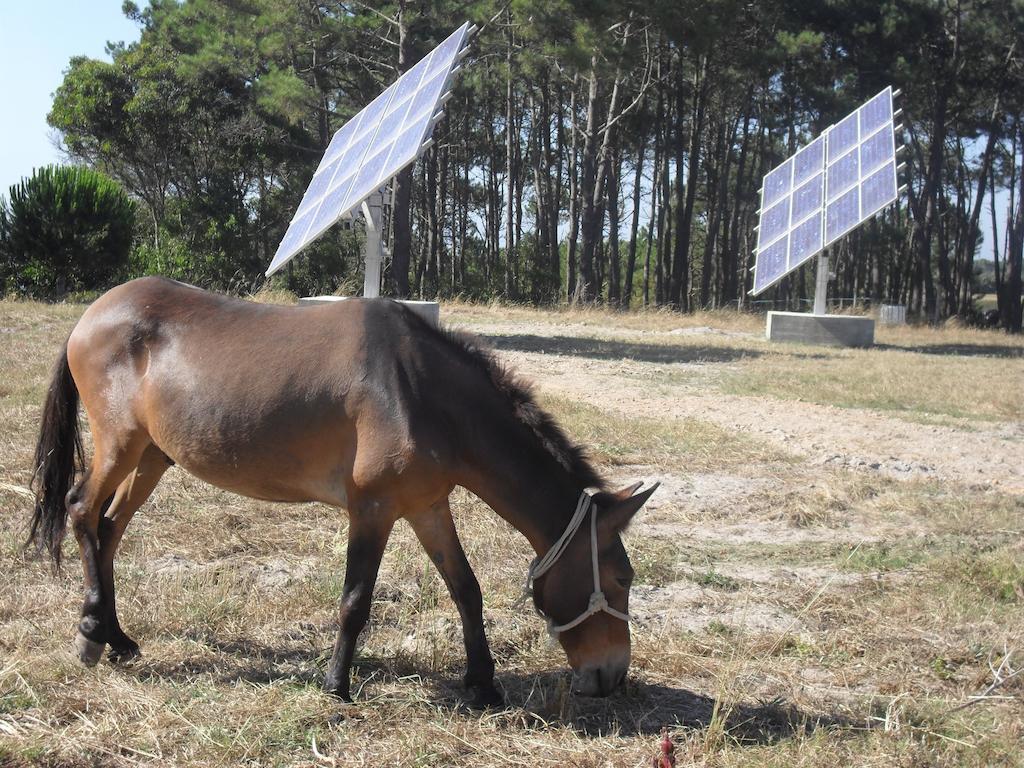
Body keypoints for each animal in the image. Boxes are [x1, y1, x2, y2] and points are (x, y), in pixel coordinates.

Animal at [32, 278, 659, 708]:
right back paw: (91, 635)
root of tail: (93, 313)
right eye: (621, 579)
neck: (417, 390)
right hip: (120, 446)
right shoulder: (372, 509)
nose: (612, 676)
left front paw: (482, 684)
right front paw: (337, 683)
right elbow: (356, 599)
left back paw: (117, 637)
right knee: (82, 513)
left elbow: (467, 590)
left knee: (108, 529)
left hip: (152, 457)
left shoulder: (427, 507)